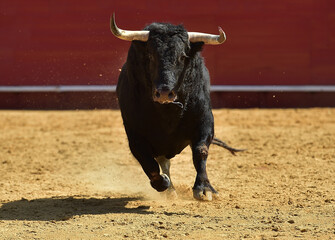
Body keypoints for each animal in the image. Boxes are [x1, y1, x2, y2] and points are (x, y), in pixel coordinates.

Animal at [111, 13, 243, 201]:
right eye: (150, 55)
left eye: (182, 56)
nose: (164, 93)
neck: (167, 114)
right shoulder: (134, 136)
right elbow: (149, 164)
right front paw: (163, 184)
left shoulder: (204, 121)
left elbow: (201, 151)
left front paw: (204, 189)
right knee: (161, 162)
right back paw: (170, 189)